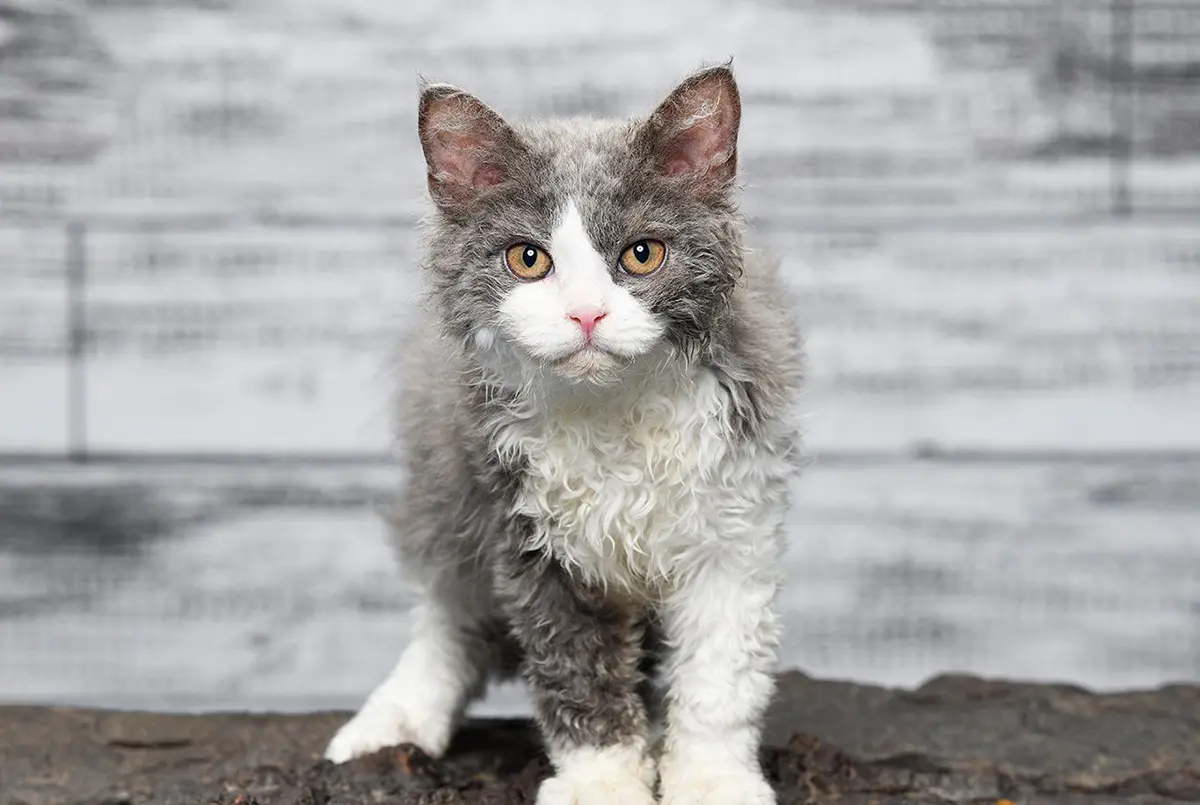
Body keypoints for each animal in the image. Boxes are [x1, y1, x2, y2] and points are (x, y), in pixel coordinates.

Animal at [324, 64, 801, 805]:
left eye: (642, 255)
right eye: (528, 259)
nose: (586, 314)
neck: (614, 411)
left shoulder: (736, 523)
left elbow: (720, 677)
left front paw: (712, 779)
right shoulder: (527, 533)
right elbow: (576, 672)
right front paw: (601, 783)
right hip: (444, 485)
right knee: (448, 614)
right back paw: (394, 718)